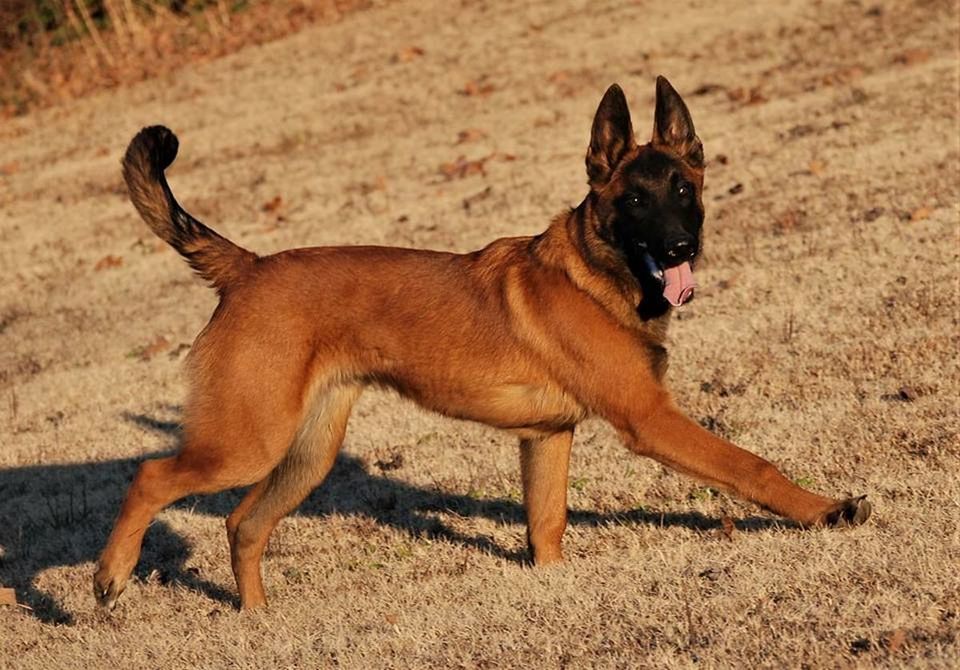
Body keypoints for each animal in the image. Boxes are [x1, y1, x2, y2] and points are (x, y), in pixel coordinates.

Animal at [95, 76, 872, 612]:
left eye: (683, 189)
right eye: (634, 201)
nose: (682, 247)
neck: (597, 272)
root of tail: (247, 267)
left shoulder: (548, 437)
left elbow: (547, 525)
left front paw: (553, 588)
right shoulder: (649, 420)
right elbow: (751, 466)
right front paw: (826, 512)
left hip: (305, 452)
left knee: (243, 523)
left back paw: (257, 619)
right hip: (246, 441)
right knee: (152, 477)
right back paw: (109, 577)